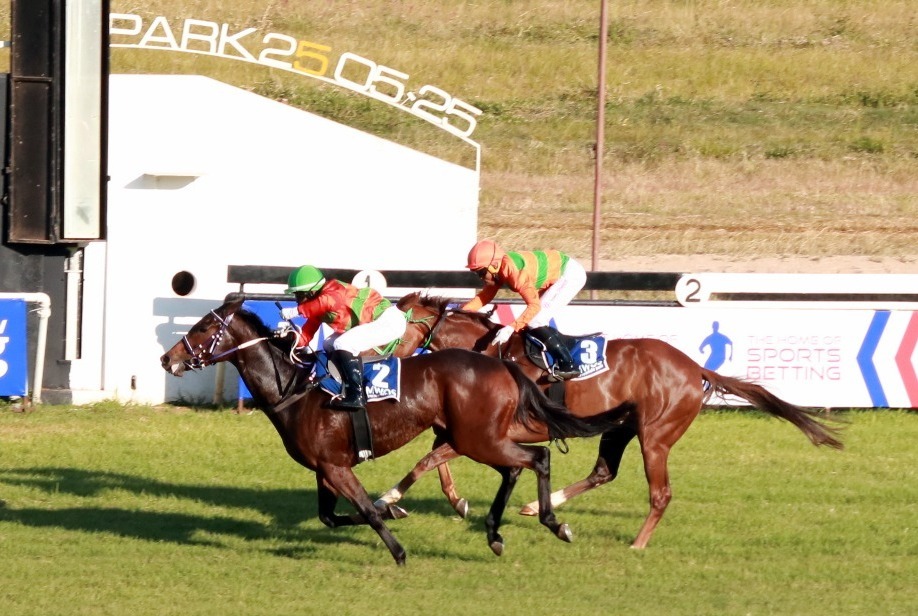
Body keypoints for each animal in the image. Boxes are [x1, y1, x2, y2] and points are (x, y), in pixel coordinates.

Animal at [159, 298, 634, 565]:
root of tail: (503, 363)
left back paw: (551, 521)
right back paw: (497, 533)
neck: (294, 389)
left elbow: (364, 512)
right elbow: (331, 516)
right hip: (472, 437)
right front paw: (394, 510)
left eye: (204, 327)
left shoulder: (336, 466)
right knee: (516, 469)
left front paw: (399, 550)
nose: (167, 358)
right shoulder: (324, 469)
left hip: (478, 439)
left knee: (537, 458)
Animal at [376, 292, 844, 549]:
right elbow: (435, 458)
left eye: (391, 325)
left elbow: (429, 460)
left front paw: (388, 499)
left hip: (656, 435)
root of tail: (695, 368)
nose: (374, 360)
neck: (487, 354)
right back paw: (538, 506)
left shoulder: (486, 432)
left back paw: (637, 544)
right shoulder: (463, 428)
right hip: (621, 428)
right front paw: (447, 501)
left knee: (660, 493)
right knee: (603, 471)